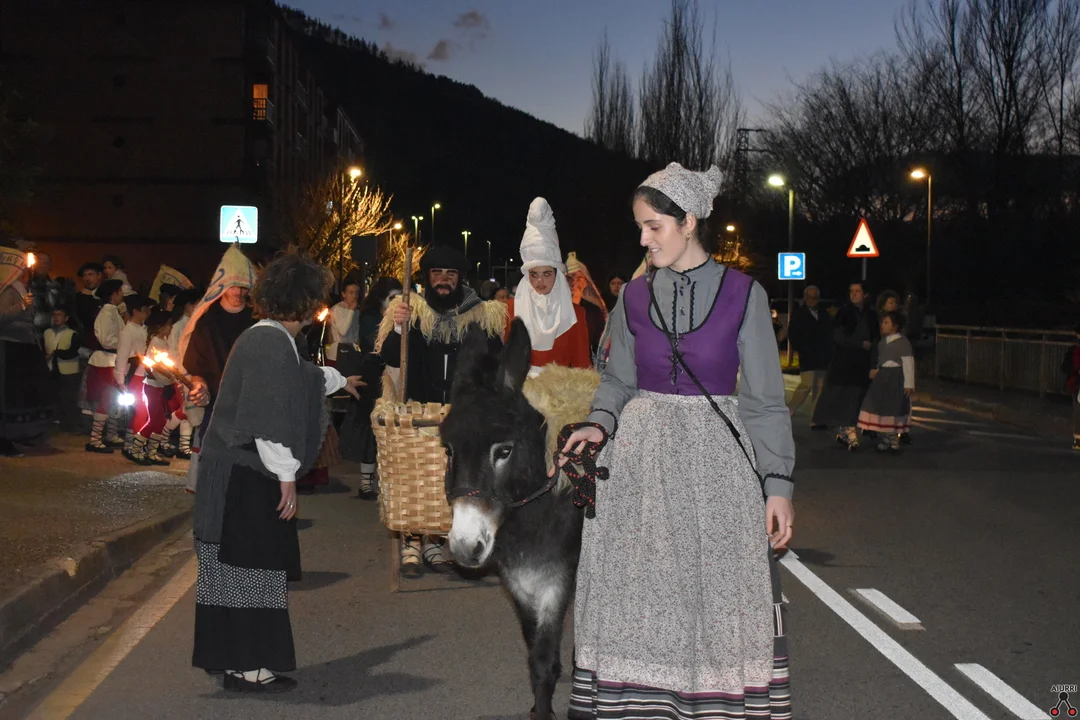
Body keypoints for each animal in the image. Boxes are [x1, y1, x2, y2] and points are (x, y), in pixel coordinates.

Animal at [440, 318, 595, 720]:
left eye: (504, 450)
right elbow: (535, 653)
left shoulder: (556, 578)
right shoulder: (518, 581)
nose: (463, 548)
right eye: (448, 450)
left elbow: (543, 658)